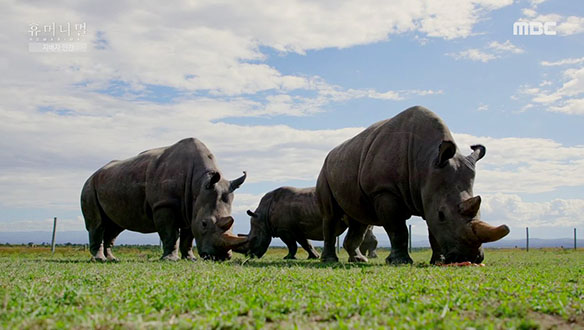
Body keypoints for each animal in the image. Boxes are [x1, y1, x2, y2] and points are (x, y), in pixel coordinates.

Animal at [80, 138, 249, 262]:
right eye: (204, 224)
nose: (220, 257)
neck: (199, 184)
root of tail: (93, 174)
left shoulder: (192, 208)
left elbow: (188, 237)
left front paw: (190, 258)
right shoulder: (164, 204)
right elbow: (170, 234)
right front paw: (170, 259)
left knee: (115, 227)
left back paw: (112, 259)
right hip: (89, 187)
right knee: (97, 224)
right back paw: (100, 259)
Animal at [238, 187, 378, 260]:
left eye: (254, 239)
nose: (249, 256)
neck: (263, 215)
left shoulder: (285, 230)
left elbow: (292, 245)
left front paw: (288, 258)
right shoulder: (296, 229)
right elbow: (306, 243)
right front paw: (314, 256)